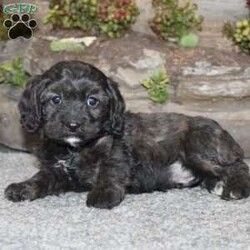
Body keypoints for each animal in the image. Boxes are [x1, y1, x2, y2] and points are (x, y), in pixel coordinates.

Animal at [4, 60, 250, 209]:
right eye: (56, 99)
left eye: (92, 101)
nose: (73, 125)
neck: (75, 149)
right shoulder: (57, 170)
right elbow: (40, 178)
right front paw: (23, 188)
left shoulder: (118, 152)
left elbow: (110, 169)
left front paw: (103, 194)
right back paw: (217, 185)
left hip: (197, 147)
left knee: (237, 166)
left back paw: (235, 188)